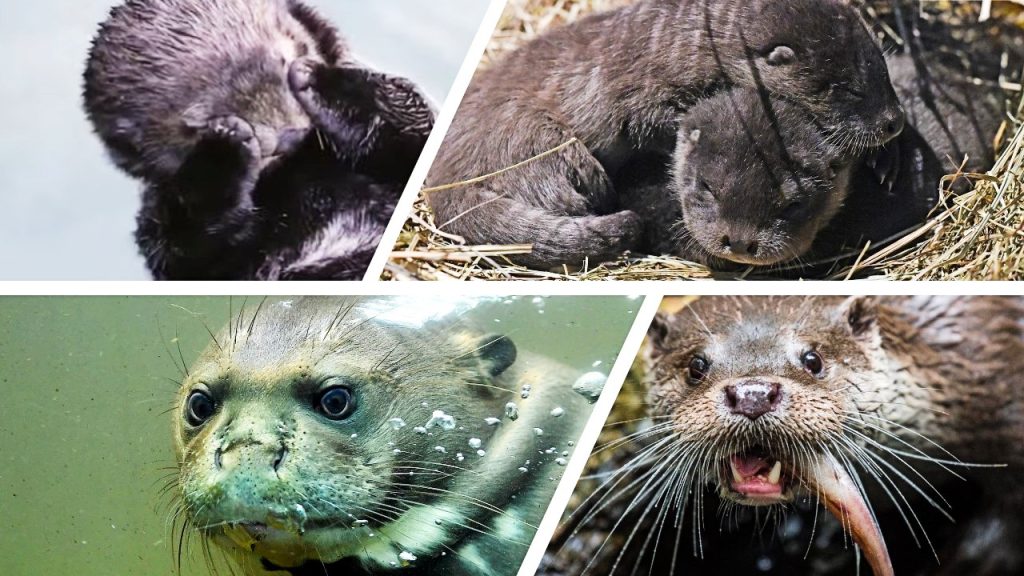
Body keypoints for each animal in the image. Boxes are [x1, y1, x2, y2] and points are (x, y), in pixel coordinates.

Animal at [84, 0, 434, 280]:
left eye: (286, 54)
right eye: (199, 120)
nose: (289, 136)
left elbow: (412, 120)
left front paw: (318, 80)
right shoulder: (166, 235)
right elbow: (185, 248)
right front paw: (224, 148)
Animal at [425, 0, 903, 269]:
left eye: (882, 67)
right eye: (846, 88)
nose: (894, 120)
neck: (686, 44)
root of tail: (446, 183)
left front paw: (887, 159)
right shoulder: (641, 97)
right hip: (534, 141)